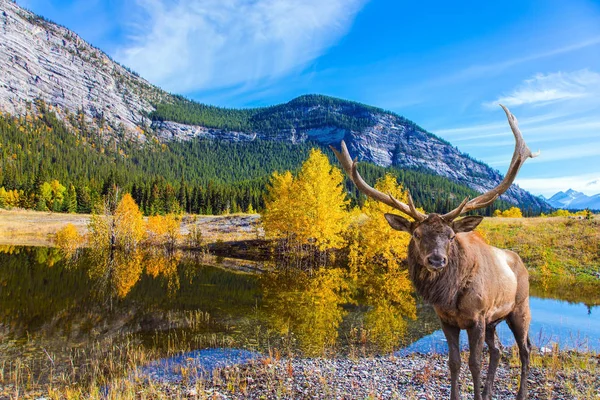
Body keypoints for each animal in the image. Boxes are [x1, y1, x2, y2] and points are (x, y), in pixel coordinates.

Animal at [330, 104, 536, 398]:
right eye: (416, 234)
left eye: (451, 236)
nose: (437, 259)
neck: (451, 297)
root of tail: (520, 261)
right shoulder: (447, 320)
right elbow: (454, 362)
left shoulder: (477, 318)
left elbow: (474, 363)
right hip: (495, 320)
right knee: (497, 350)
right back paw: (488, 391)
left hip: (520, 307)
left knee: (525, 349)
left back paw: (520, 393)